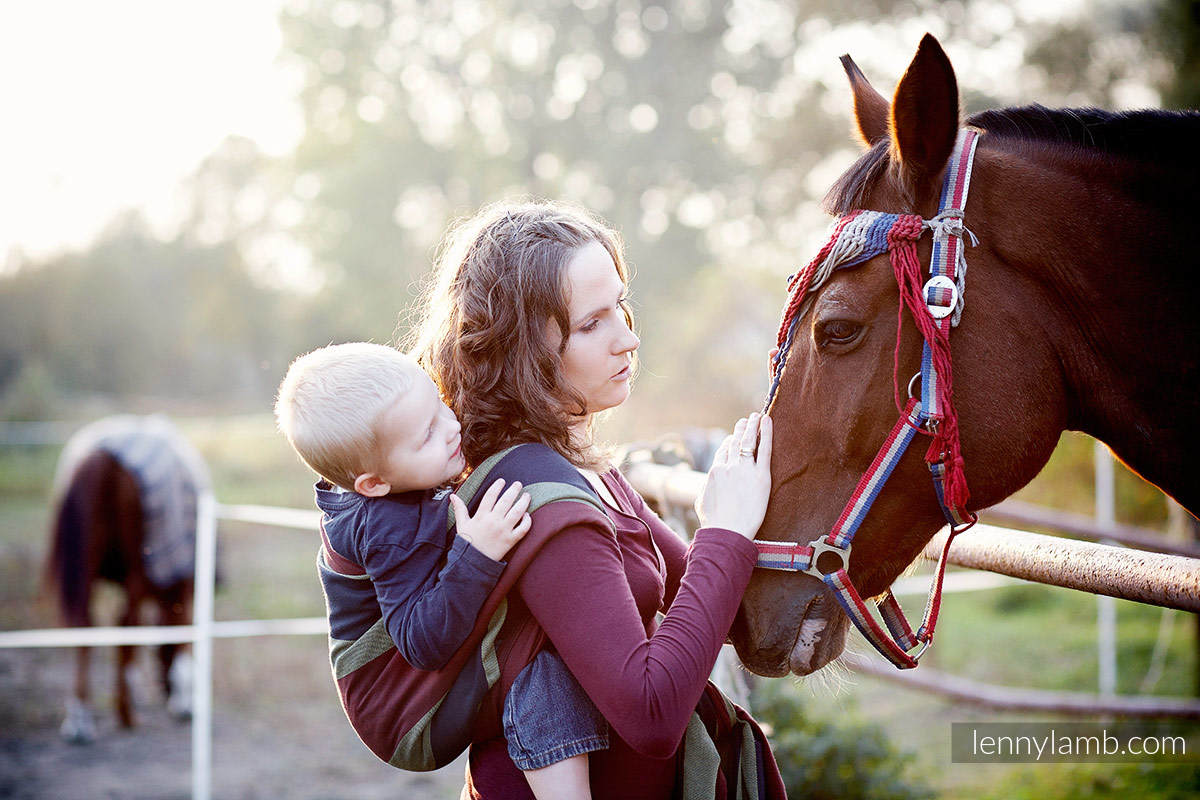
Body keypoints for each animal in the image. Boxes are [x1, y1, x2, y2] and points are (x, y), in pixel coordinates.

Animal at [46, 417, 211, 743]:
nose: (169, 695)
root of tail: (101, 455)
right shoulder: (181, 584)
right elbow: (178, 633)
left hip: (87, 566)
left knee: (84, 627)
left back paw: (80, 720)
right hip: (138, 571)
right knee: (125, 622)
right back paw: (125, 714)